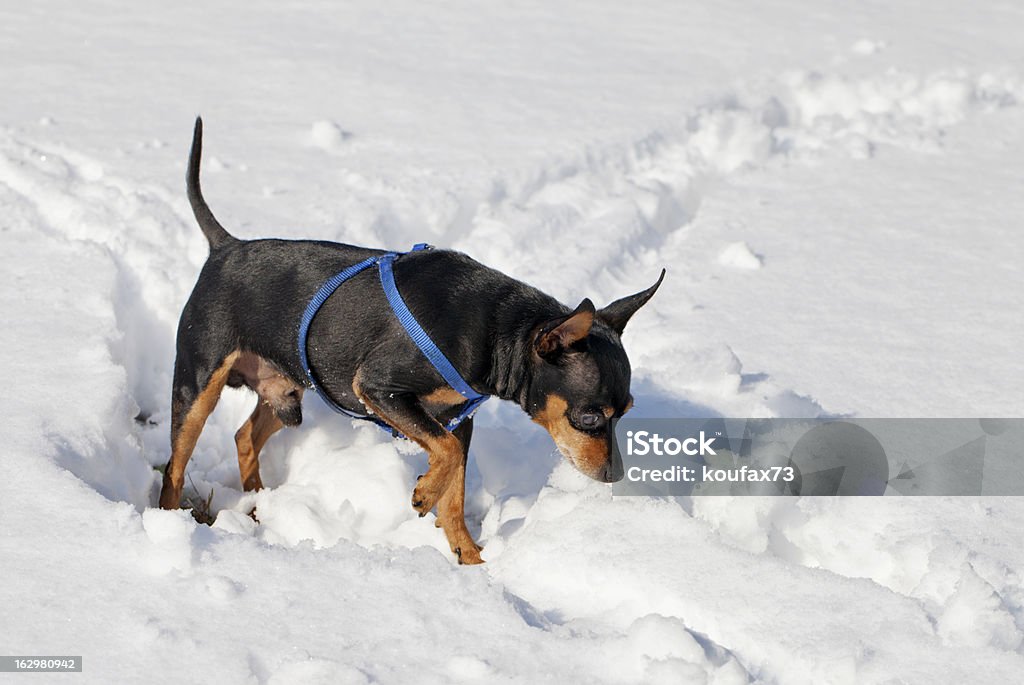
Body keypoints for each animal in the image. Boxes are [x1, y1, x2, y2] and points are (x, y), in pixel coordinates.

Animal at [159, 120, 663, 565]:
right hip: (197, 384)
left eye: (626, 413)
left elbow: (456, 484)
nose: (614, 475)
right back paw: (165, 520)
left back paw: (259, 503)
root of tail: (226, 246)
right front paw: (423, 495)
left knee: (245, 435)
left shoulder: (458, 419)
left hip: (285, 390)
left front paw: (469, 558)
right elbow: (447, 456)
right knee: (175, 464)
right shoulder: (380, 389)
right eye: (590, 417)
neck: (495, 330)